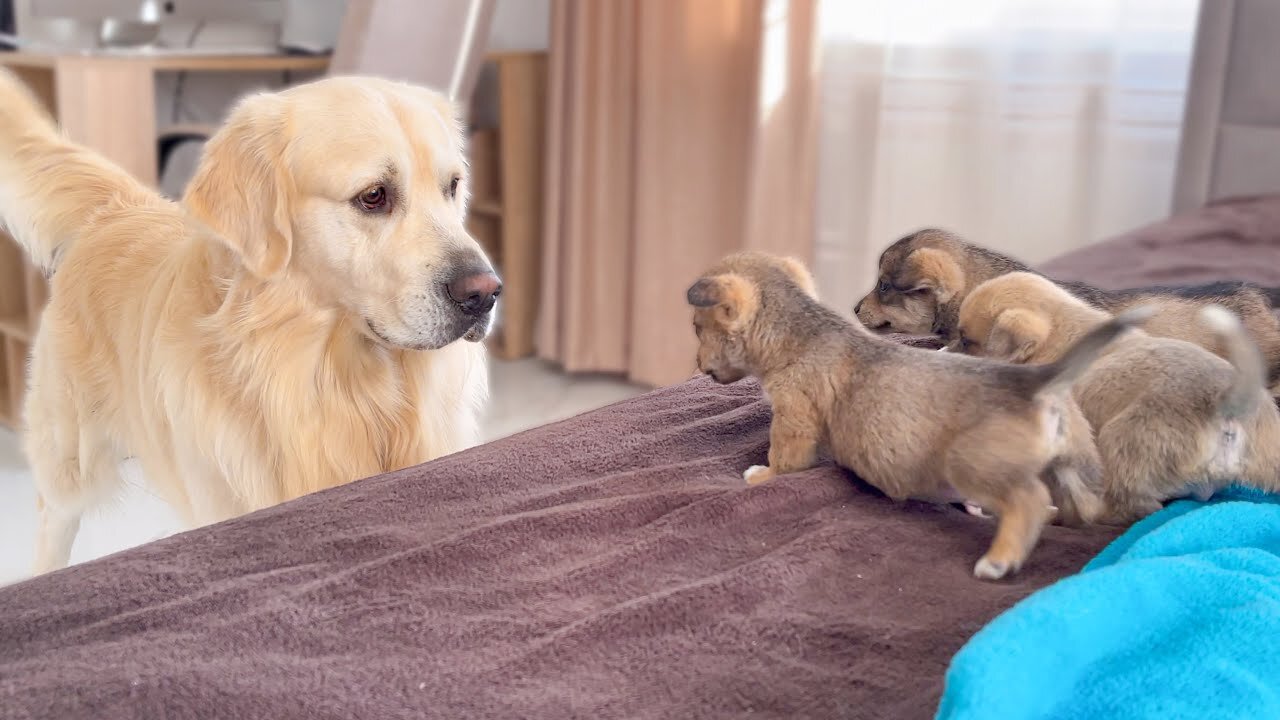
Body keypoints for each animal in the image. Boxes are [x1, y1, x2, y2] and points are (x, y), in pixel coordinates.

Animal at [0, 68, 499, 571]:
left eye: (453, 186)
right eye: (374, 196)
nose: (485, 294)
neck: (344, 388)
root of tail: (117, 210)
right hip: (68, 463)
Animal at [686, 251, 1146, 576]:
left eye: (696, 327)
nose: (700, 367)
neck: (799, 333)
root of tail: (1036, 381)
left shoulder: (794, 418)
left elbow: (783, 460)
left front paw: (760, 476)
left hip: (971, 464)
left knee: (1028, 500)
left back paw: (999, 558)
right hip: (1073, 465)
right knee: (1078, 507)